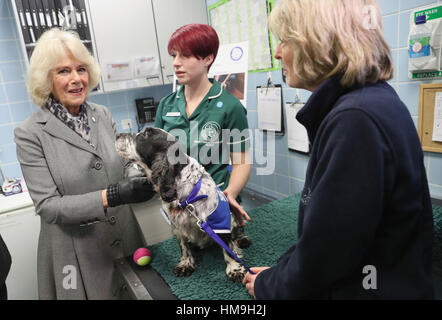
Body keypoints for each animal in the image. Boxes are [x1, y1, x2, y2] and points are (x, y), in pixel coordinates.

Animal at [114, 126, 250, 282]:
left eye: (146, 134)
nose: (117, 135)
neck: (185, 199)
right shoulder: (177, 226)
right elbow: (183, 247)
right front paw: (186, 264)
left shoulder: (219, 221)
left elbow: (227, 246)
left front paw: (234, 268)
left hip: (232, 216)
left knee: (237, 231)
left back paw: (242, 239)